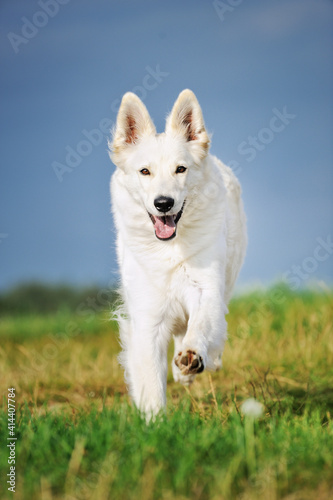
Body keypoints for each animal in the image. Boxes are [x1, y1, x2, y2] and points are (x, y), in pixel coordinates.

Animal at [109, 90, 246, 418]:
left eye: (180, 169)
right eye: (145, 171)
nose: (163, 203)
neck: (170, 249)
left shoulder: (205, 289)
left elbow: (201, 325)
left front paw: (193, 356)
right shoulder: (148, 316)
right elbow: (150, 381)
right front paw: (155, 423)